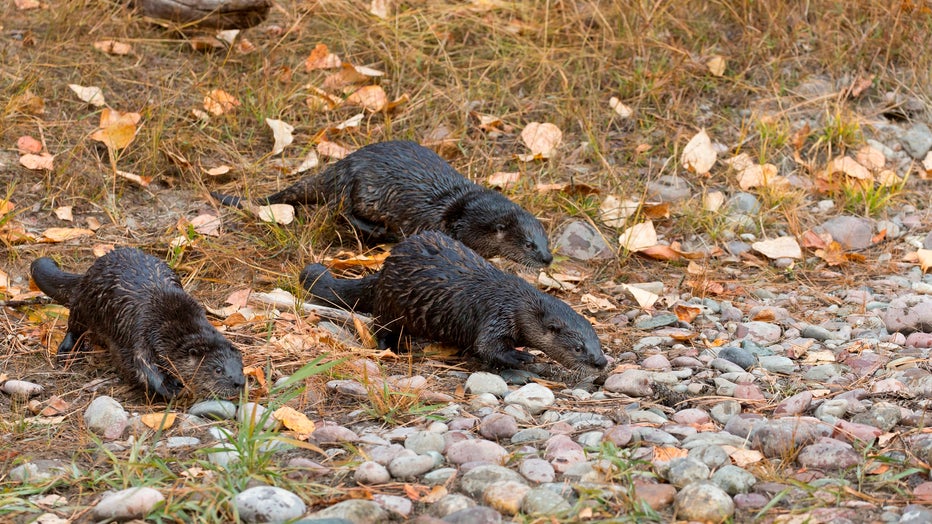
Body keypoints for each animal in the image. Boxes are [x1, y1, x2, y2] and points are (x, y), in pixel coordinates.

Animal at [30, 248, 244, 400]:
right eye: (218, 370)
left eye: (240, 366)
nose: (239, 382)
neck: (166, 321)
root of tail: (88, 273)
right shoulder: (142, 331)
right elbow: (143, 366)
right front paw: (171, 389)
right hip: (84, 302)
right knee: (75, 325)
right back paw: (68, 350)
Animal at [211, 140, 552, 266]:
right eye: (528, 244)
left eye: (546, 241)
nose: (548, 259)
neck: (461, 213)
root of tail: (343, 164)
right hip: (358, 187)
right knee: (339, 211)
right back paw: (378, 232)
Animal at [296, 232, 604, 372]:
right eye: (578, 348)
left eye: (597, 343)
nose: (601, 362)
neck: (517, 304)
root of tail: (384, 268)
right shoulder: (497, 315)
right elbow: (486, 347)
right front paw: (521, 356)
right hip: (391, 304)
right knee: (380, 326)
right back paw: (394, 348)